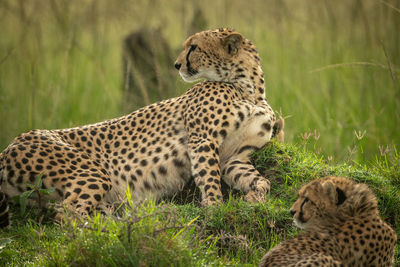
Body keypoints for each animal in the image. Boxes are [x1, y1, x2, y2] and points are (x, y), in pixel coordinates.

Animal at [0, 28, 282, 226]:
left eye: (194, 47)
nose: (176, 65)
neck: (249, 88)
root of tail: (12, 143)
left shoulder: (234, 157)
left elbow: (261, 180)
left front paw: (255, 197)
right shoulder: (202, 140)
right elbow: (210, 179)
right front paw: (214, 208)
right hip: (92, 172)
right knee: (67, 215)